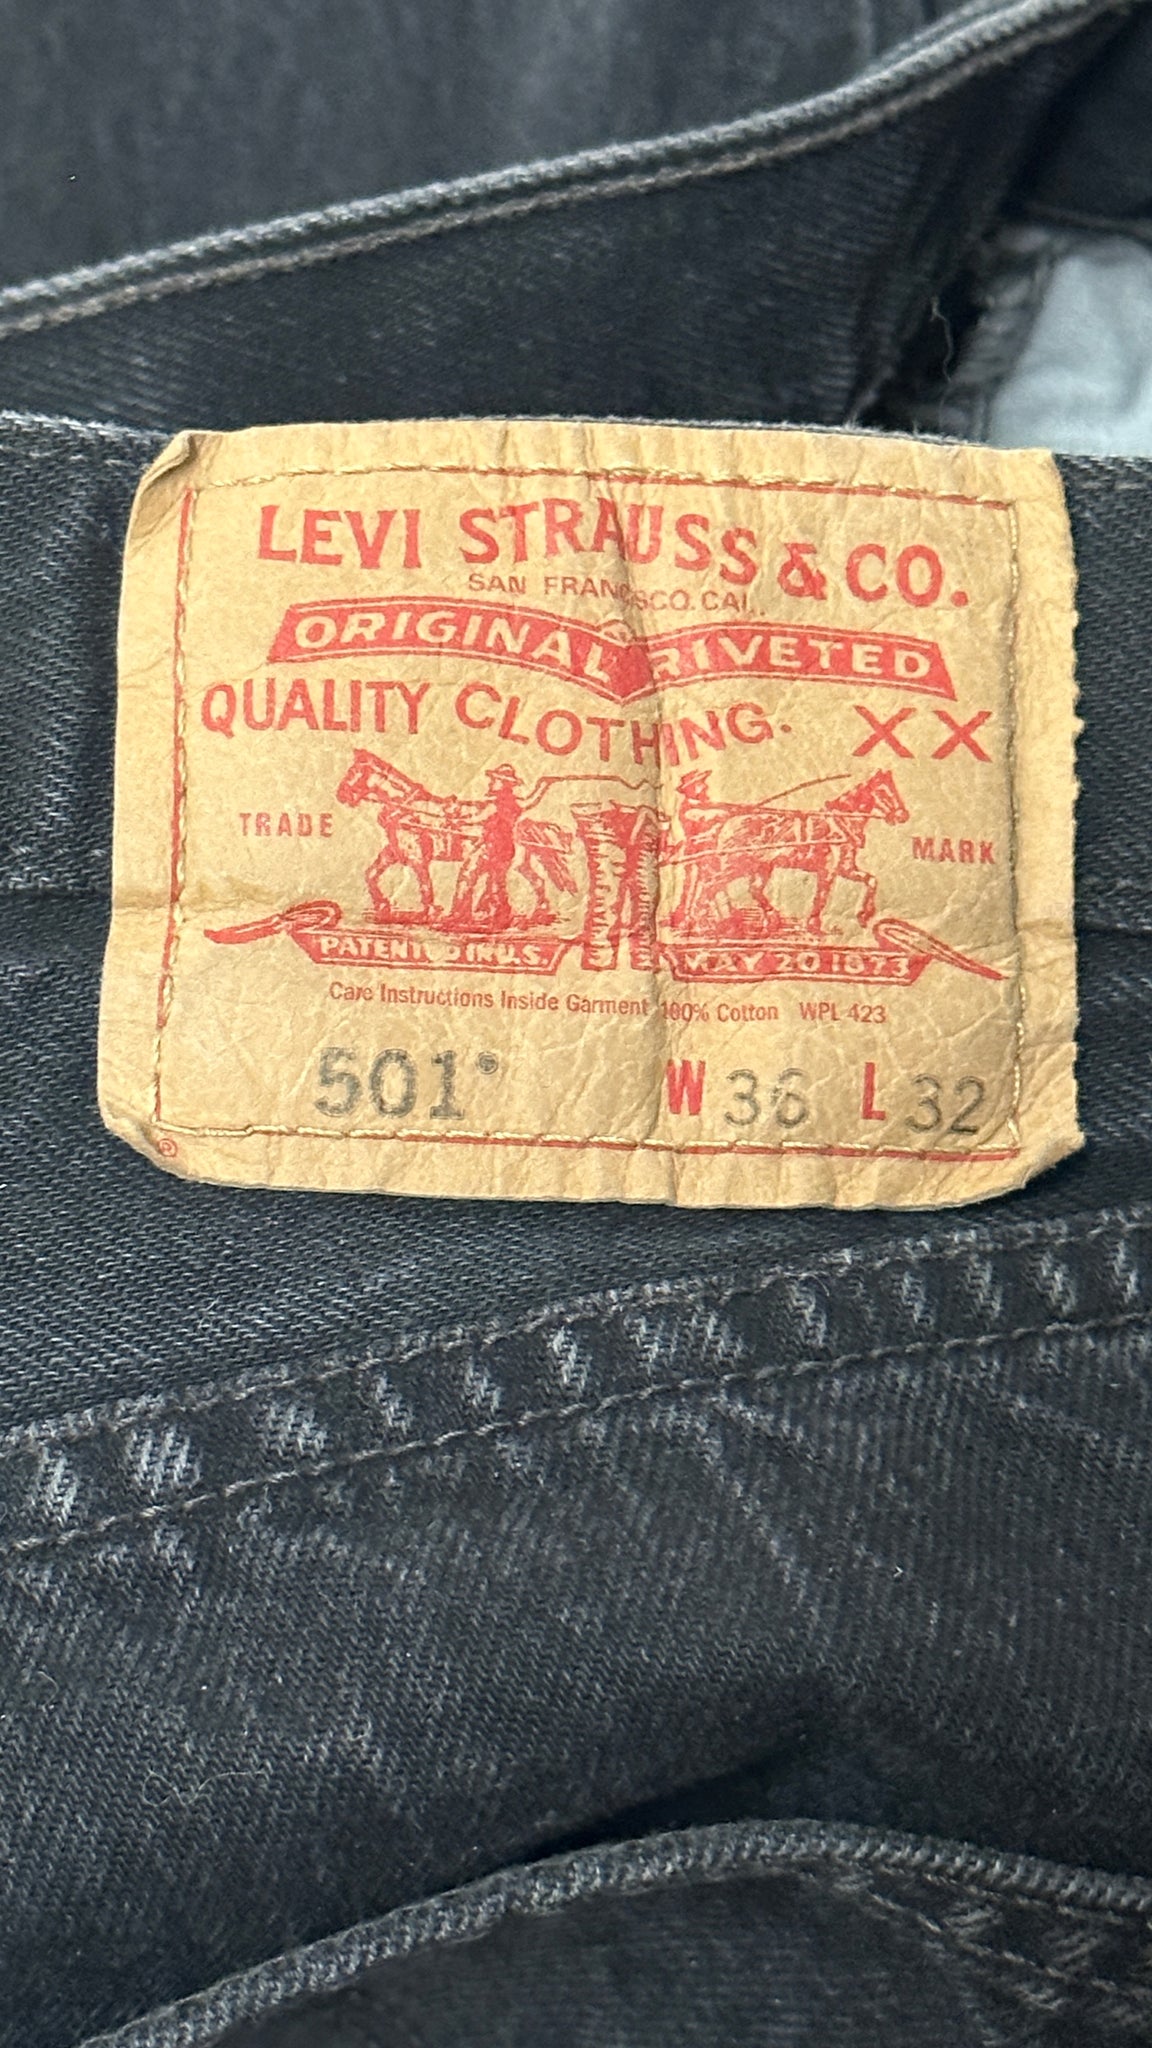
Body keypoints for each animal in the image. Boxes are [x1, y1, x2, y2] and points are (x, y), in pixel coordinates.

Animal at [669, 767, 909, 936]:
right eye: (884, 792)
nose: (902, 815)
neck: (840, 822)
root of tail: (728, 822)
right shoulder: (829, 870)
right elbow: (822, 897)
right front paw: (814, 926)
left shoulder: (846, 867)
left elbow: (871, 880)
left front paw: (864, 915)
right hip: (735, 864)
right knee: (709, 884)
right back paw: (700, 923)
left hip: (761, 866)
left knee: (750, 888)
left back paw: (768, 919)